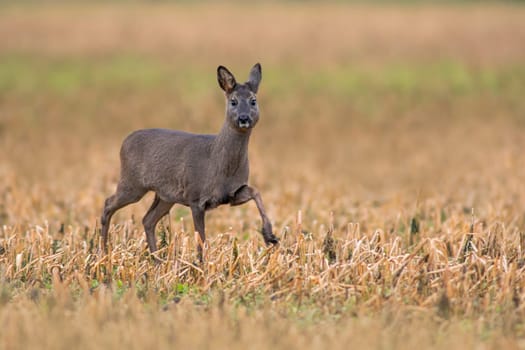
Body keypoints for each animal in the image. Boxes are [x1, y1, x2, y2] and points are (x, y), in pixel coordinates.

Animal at [99, 62, 278, 260]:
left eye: (253, 100)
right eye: (233, 101)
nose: (244, 118)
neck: (217, 163)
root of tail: (124, 141)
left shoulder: (231, 194)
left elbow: (256, 191)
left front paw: (270, 236)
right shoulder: (195, 197)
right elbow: (201, 239)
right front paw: (201, 265)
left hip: (165, 195)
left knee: (148, 219)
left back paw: (157, 261)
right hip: (132, 183)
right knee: (108, 204)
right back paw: (103, 254)